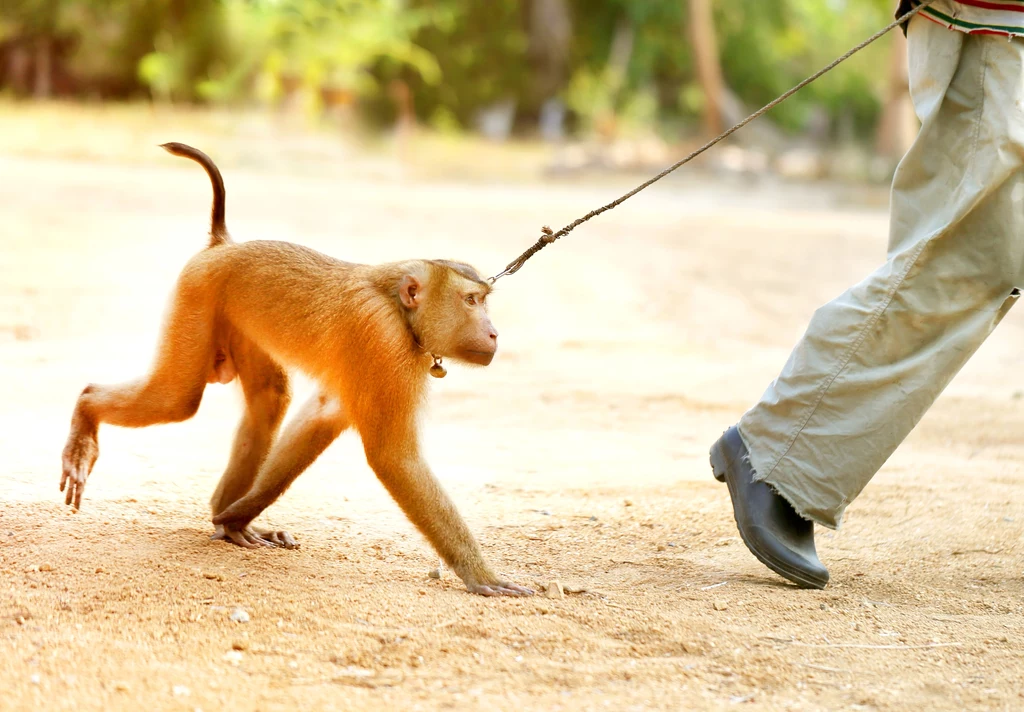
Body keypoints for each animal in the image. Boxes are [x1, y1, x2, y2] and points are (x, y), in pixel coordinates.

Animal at [58, 142, 532, 598]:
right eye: (472, 301)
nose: (493, 333)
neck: (399, 310)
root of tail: (224, 246)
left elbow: (324, 413)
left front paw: (237, 517)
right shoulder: (382, 343)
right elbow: (392, 457)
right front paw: (480, 574)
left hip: (233, 316)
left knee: (269, 398)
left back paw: (226, 516)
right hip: (199, 292)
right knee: (177, 399)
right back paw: (87, 410)